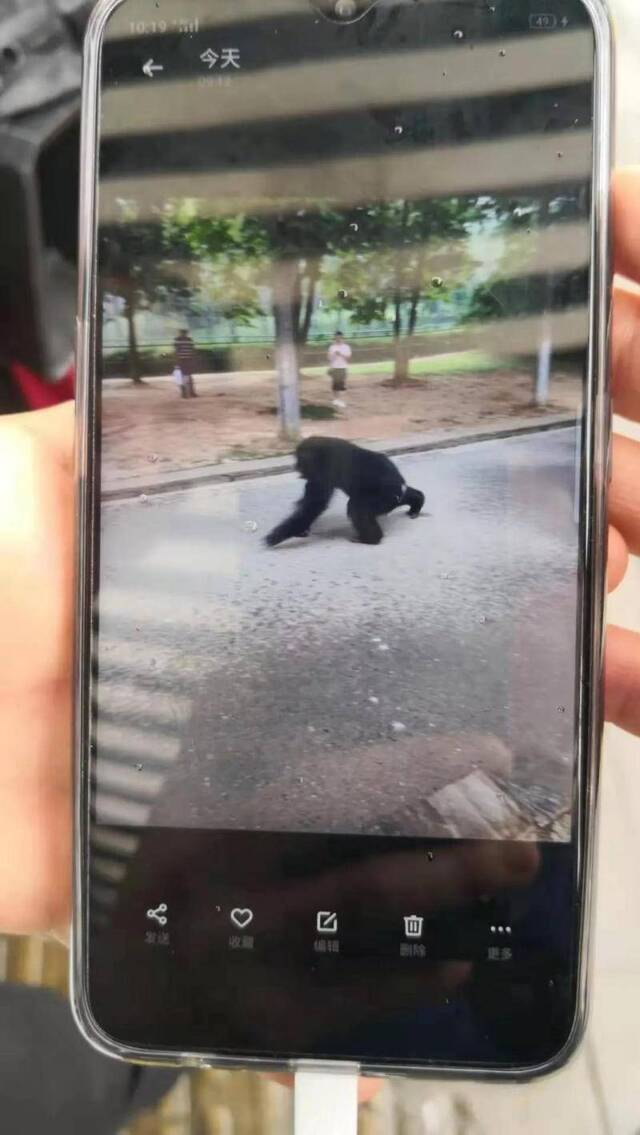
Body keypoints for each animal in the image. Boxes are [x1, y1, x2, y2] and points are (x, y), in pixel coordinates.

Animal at [265, 435, 424, 547]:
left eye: (300, 459)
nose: (296, 466)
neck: (319, 452)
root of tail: (399, 486)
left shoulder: (323, 470)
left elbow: (313, 505)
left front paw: (277, 535)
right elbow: (307, 505)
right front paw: (300, 530)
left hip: (384, 498)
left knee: (356, 507)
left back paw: (370, 539)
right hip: (393, 498)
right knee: (405, 496)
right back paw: (417, 502)